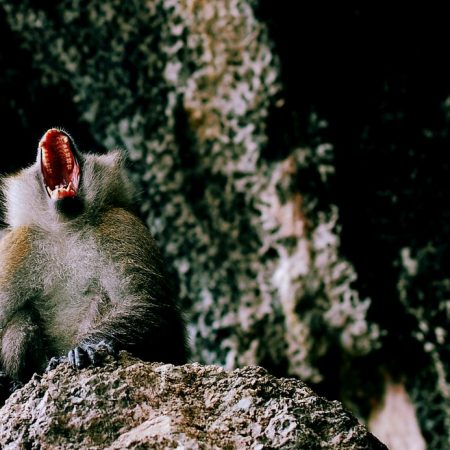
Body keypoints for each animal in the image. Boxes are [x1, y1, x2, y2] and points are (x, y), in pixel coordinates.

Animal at [0, 128, 186, 402]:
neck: (68, 227)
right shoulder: (18, 245)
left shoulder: (120, 225)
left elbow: (148, 304)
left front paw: (86, 348)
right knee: (21, 317)